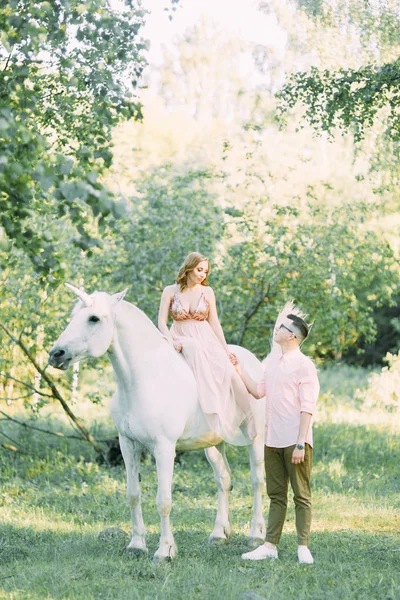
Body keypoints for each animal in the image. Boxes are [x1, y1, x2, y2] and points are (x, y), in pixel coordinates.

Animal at [48, 284, 266, 560]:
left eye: (93, 318)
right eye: (72, 316)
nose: (56, 354)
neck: (145, 379)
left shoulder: (164, 449)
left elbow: (164, 501)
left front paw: (165, 551)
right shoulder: (127, 445)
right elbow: (133, 495)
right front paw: (136, 545)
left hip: (255, 438)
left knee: (257, 481)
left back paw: (256, 535)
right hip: (214, 444)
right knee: (224, 480)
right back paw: (219, 534)